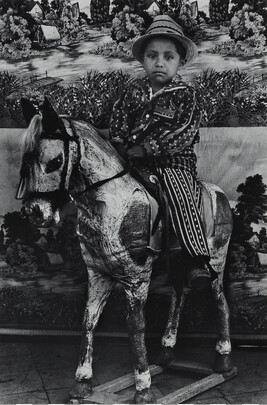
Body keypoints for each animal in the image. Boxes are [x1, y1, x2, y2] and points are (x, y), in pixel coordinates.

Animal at [17, 98, 234, 404]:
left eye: (55, 161)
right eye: (26, 160)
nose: (35, 212)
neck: (110, 201)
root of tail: (221, 195)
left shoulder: (136, 278)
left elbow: (135, 327)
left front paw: (143, 387)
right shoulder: (98, 274)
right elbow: (88, 321)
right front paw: (82, 383)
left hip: (217, 260)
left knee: (220, 301)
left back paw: (223, 360)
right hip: (177, 263)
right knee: (179, 296)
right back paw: (167, 352)